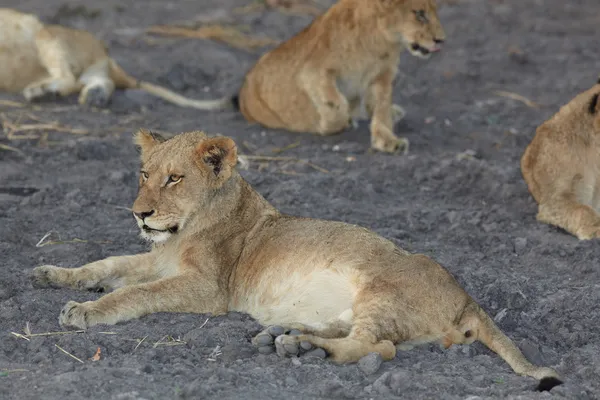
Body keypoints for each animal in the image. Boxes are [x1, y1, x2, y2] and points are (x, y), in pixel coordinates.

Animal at [0, 7, 231, 110]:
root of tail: (105, 53)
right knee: (99, 81)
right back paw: (94, 96)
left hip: (46, 34)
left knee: (69, 78)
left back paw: (43, 93)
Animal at [34, 130, 564, 390]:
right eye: (144, 174)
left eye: (175, 178)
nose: (139, 213)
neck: (186, 229)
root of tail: (468, 300)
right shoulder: (157, 259)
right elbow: (107, 263)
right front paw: (54, 274)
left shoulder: (208, 288)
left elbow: (137, 292)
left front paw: (84, 311)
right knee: (364, 338)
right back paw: (284, 336)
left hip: (383, 290)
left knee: (375, 347)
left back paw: (303, 348)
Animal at [234, 0, 446, 154]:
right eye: (420, 14)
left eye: (435, 11)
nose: (441, 40)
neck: (381, 41)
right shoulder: (313, 71)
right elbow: (335, 105)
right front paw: (328, 125)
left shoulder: (382, 76)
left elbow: (381, 109)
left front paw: (387, 140)